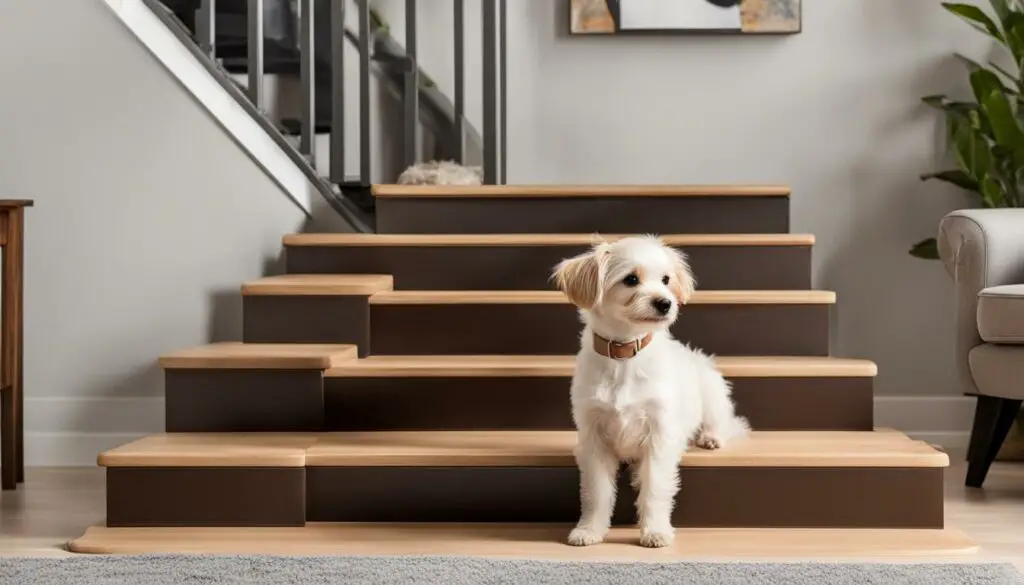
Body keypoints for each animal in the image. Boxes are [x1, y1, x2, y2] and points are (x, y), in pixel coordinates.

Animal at [552, 234, 753, 549]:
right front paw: (589, 529)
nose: (665, 303)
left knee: (723, 421)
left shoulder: (659, 434)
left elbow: (656, 489)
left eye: (666, 279)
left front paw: (655, 530)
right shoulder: (593, 438)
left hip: (712, 390)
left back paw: (711, 437)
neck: (624, 357)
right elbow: (596, 492)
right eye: (631, 279)